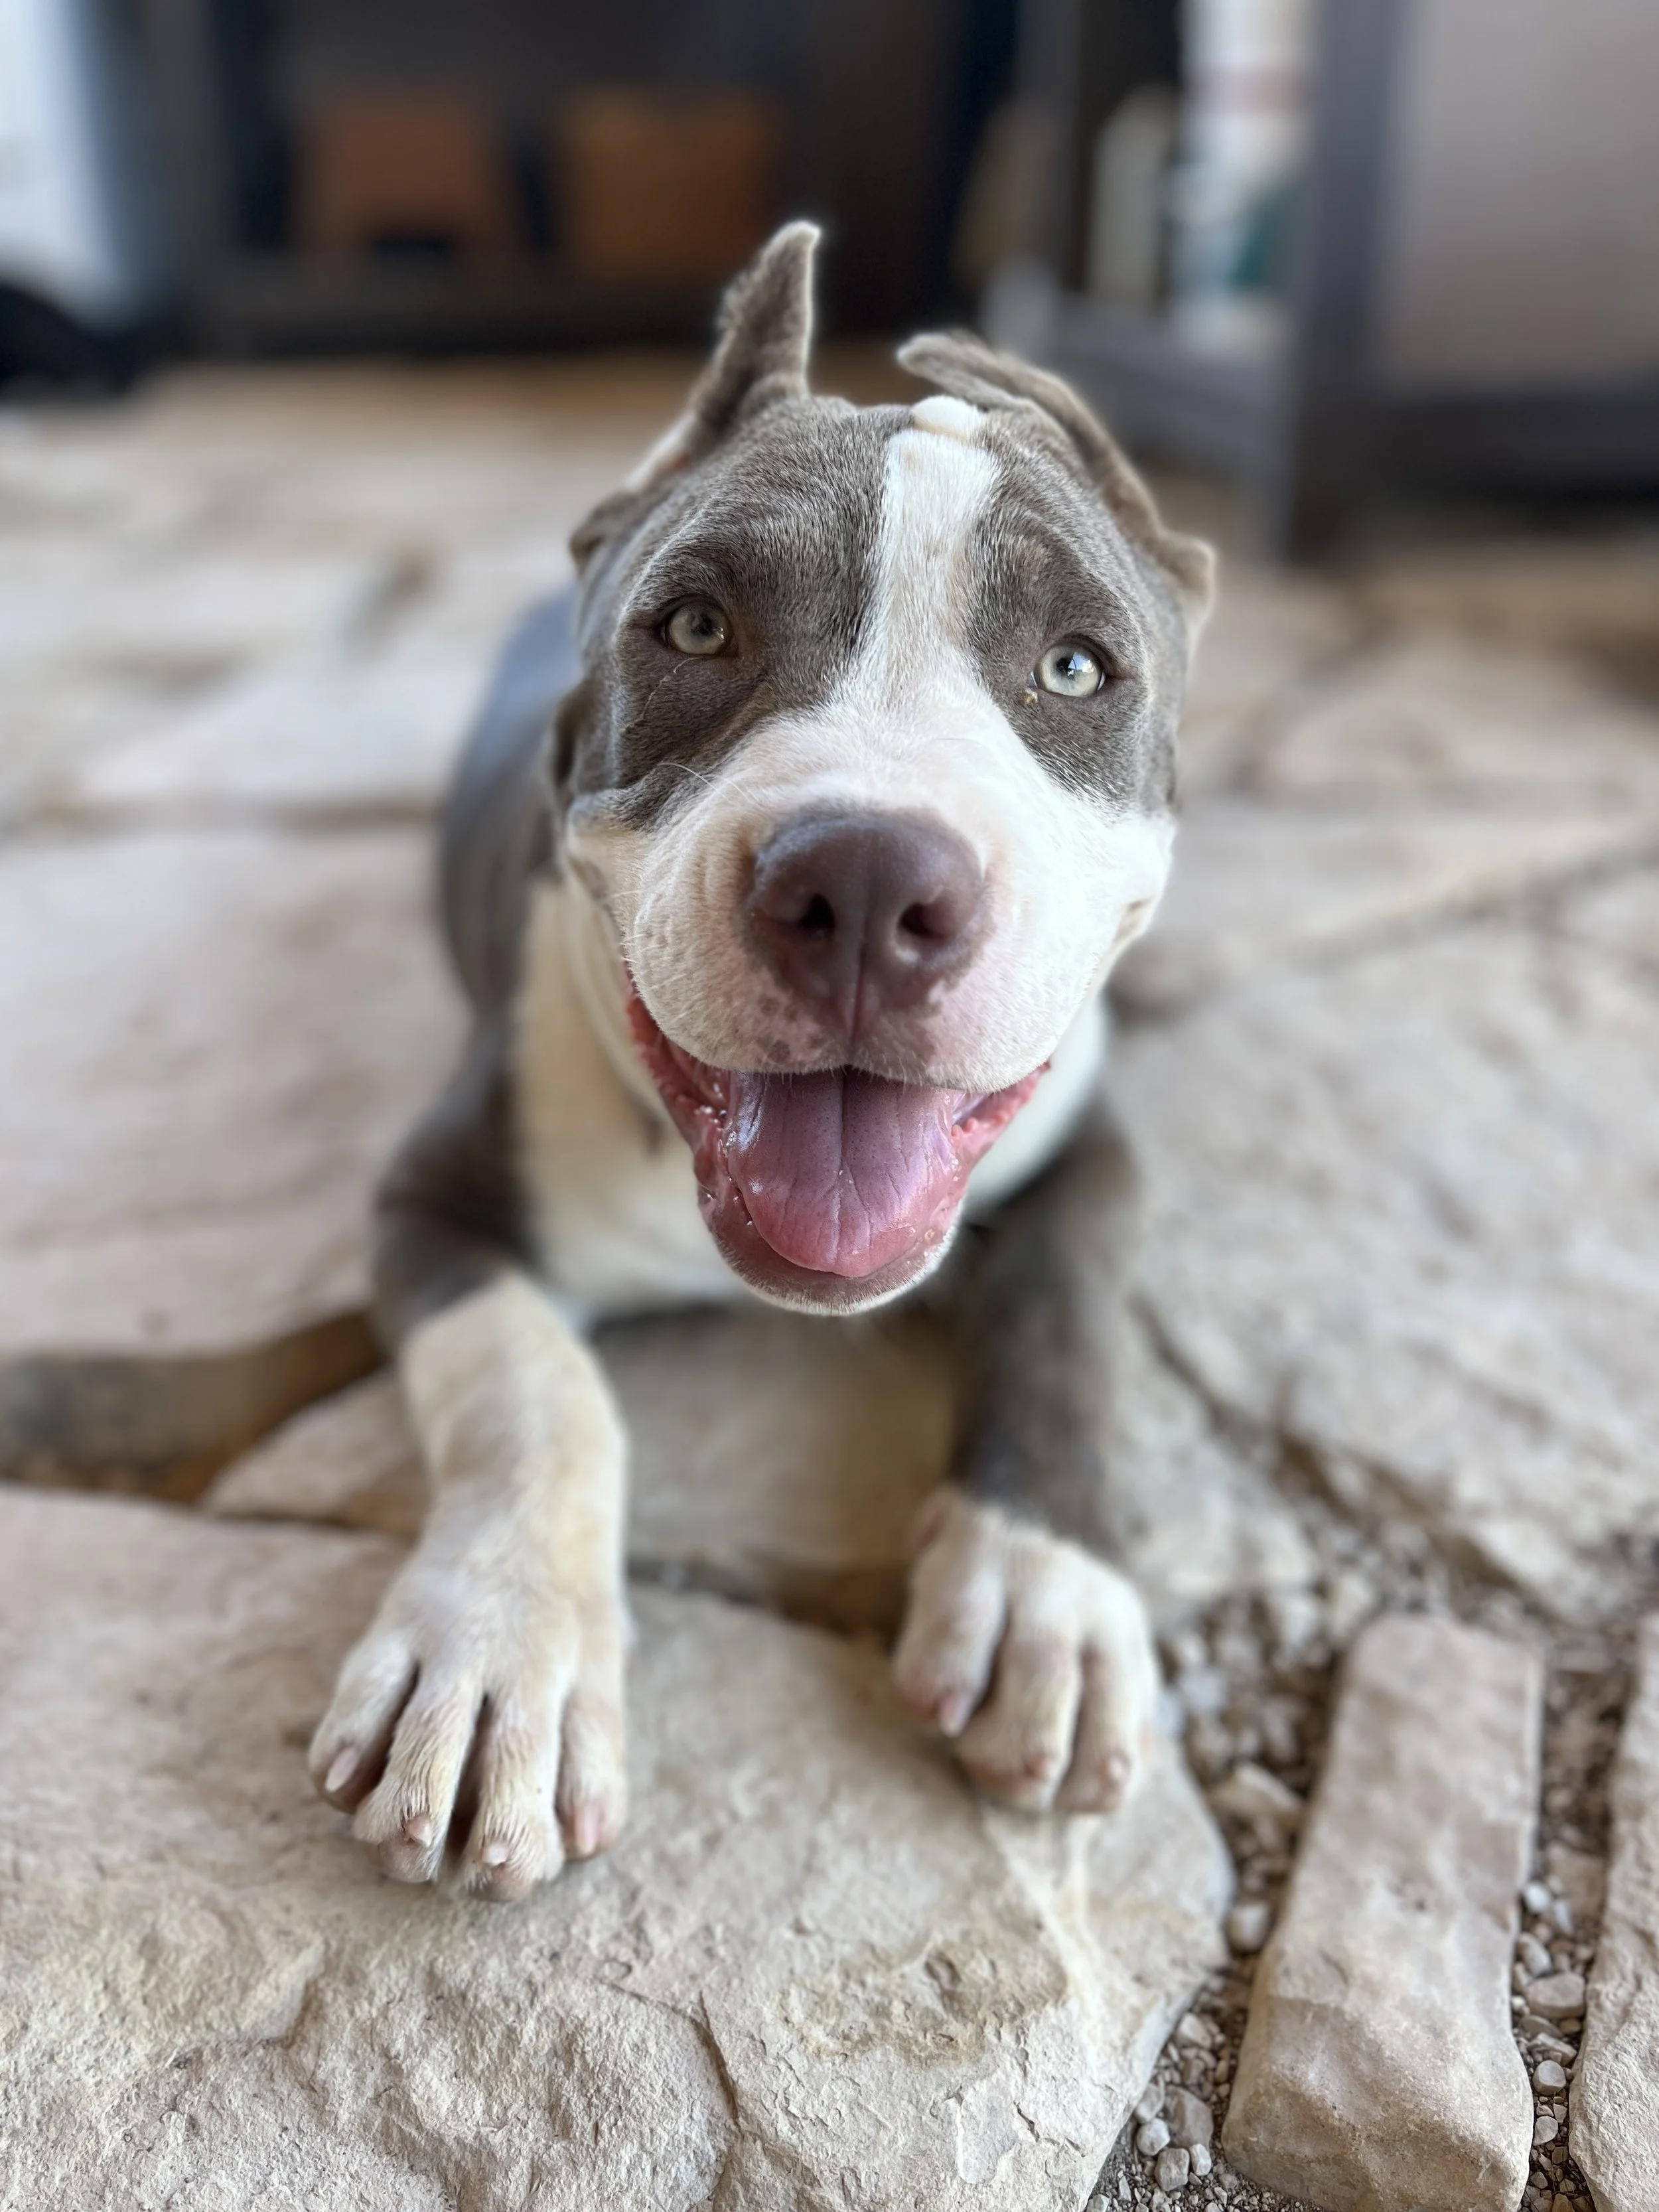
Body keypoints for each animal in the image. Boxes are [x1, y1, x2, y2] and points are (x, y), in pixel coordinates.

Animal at [307, 222, 1214, 1899]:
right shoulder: (432, 1203)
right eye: (694, 627)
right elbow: (538, 1389)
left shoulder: (1092, 1149)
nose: (864, 882)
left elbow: (1066, 1321)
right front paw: (496, 1655)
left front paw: (1042, 1590)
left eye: (1074, 668)